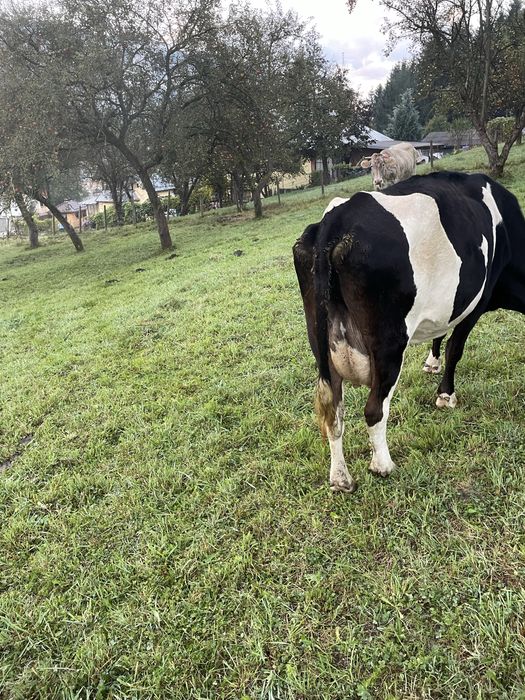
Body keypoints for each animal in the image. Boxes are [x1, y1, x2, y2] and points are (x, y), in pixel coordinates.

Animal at [293, 171, 525, 493]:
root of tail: (337, 219)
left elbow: (441, 333)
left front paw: (431, 363)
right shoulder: (477, 300)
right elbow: (455, 348)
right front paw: (445, 395)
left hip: (321, 345)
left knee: (333, 412)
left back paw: (340, 478)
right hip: (388, 343)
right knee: (374, 409)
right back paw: (382, 466)